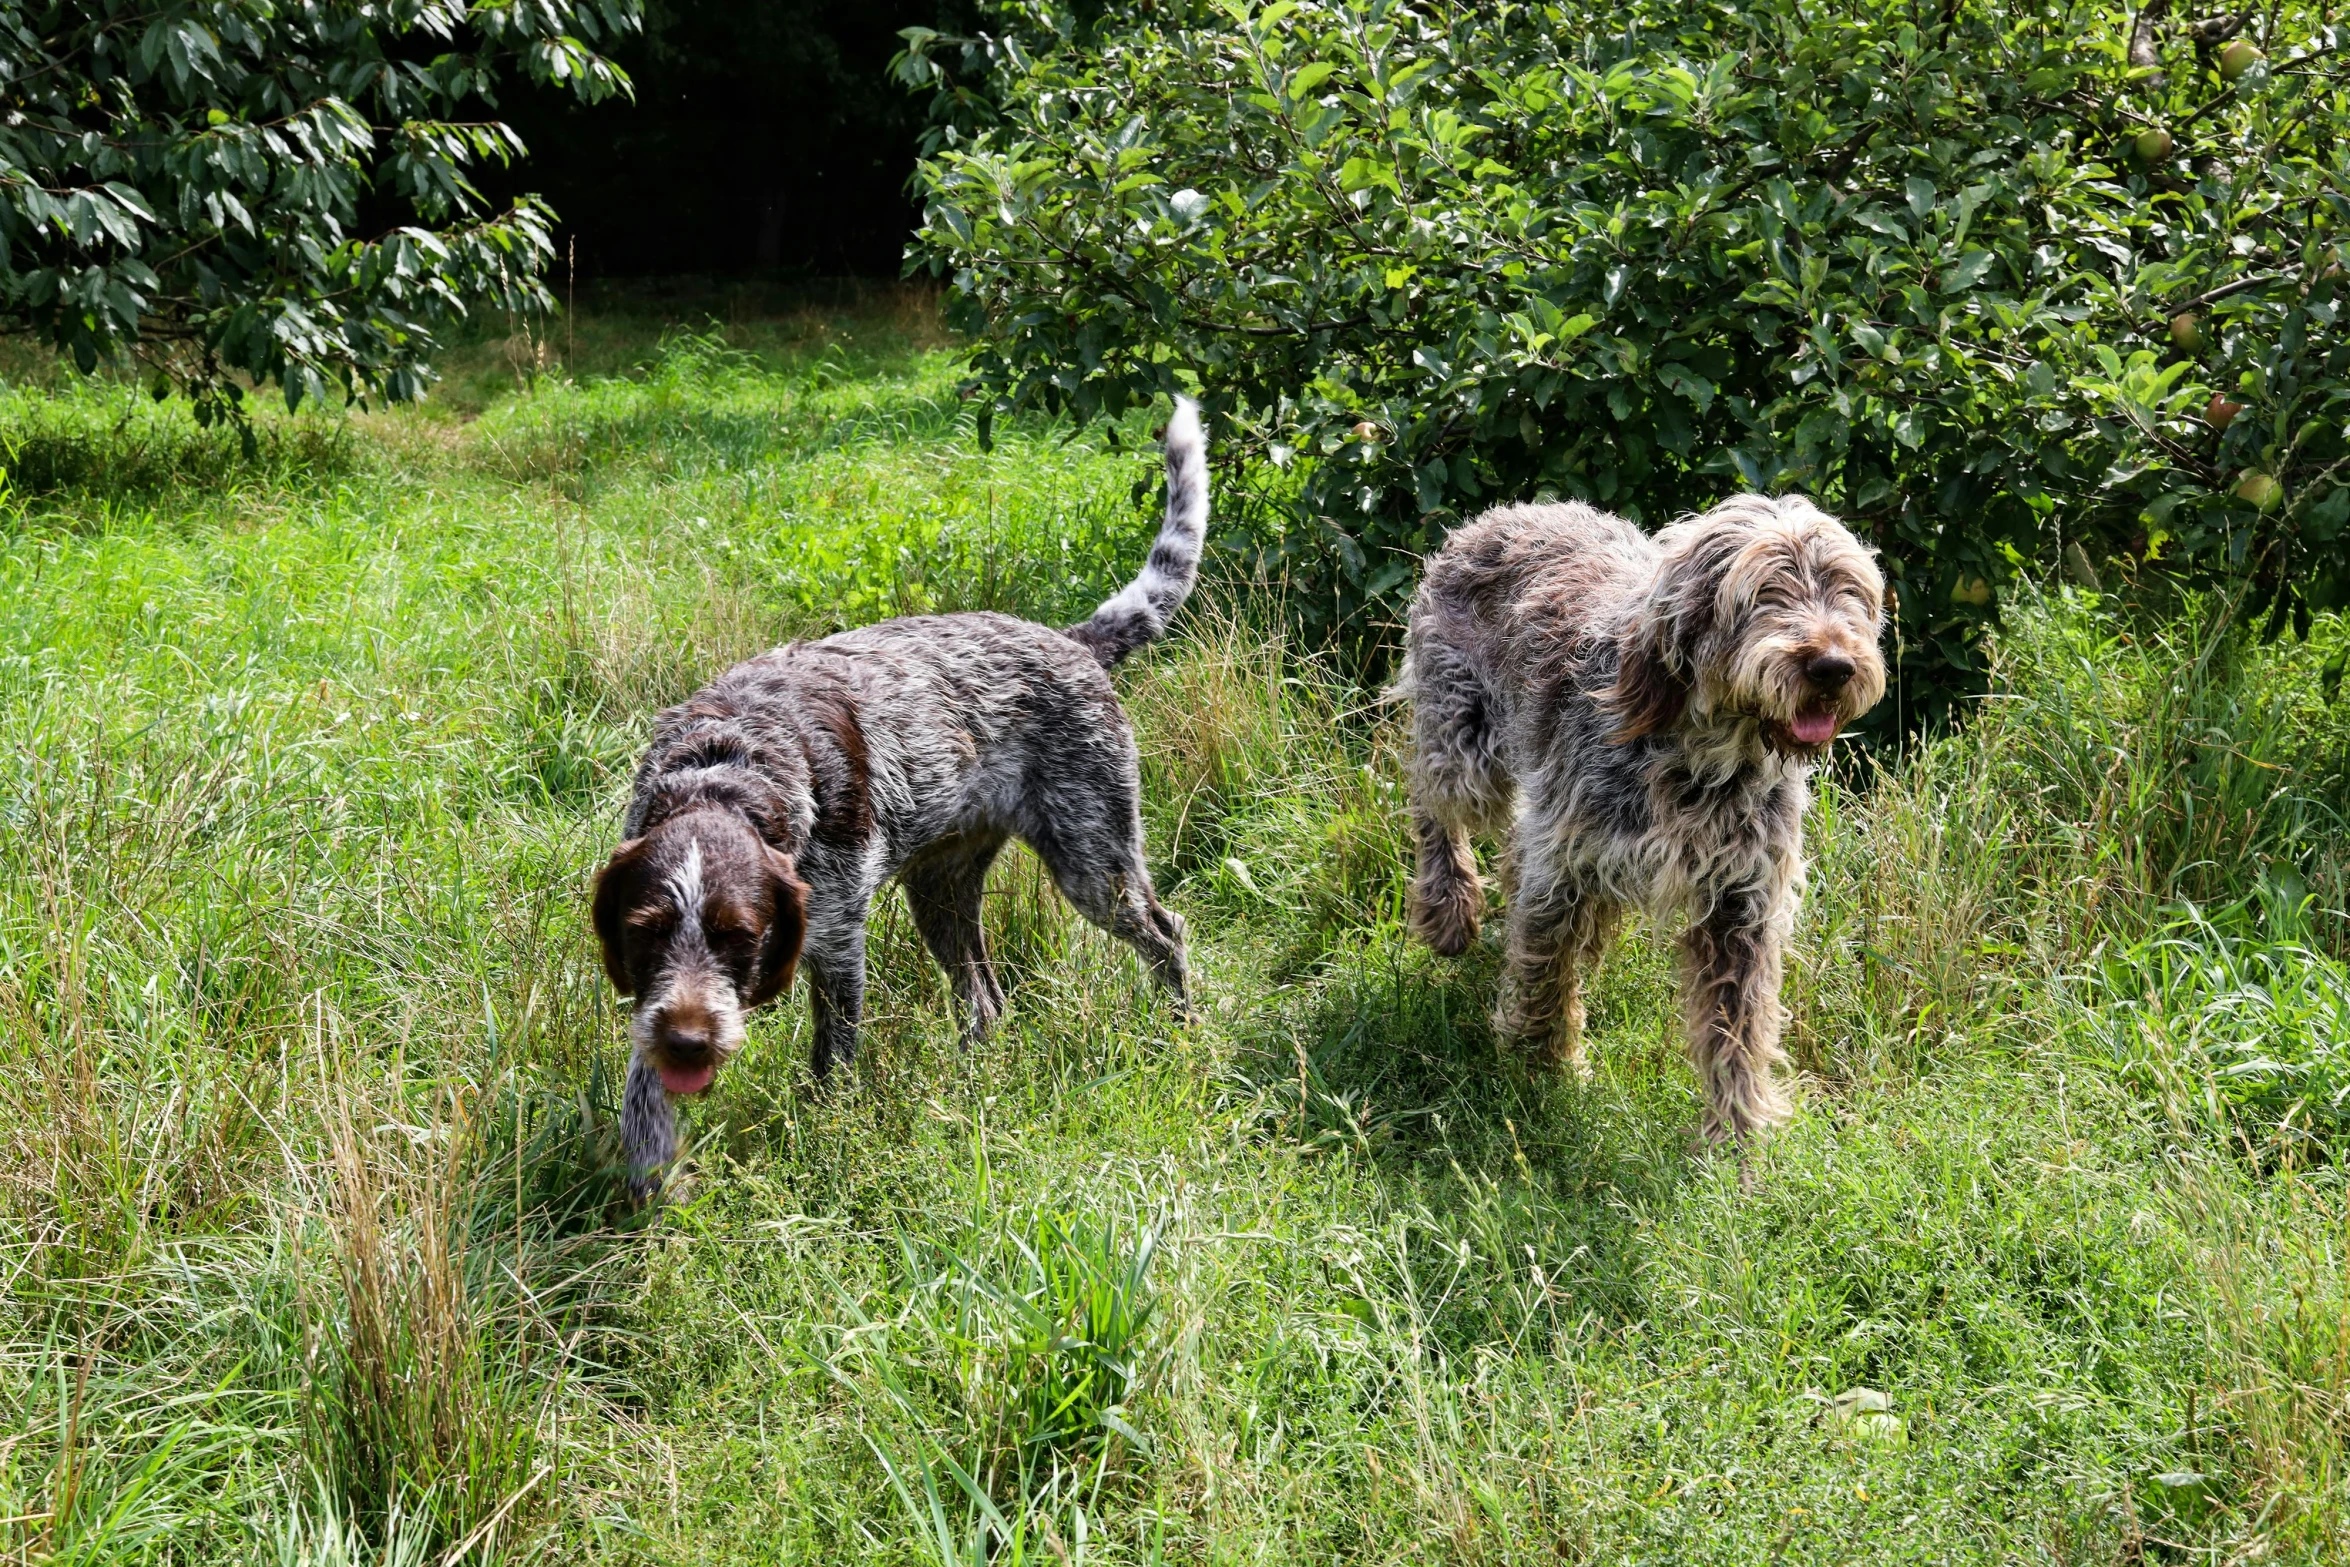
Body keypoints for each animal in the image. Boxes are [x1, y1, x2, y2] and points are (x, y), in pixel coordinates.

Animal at [596, 401, 1212, 1188]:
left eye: (743, 935)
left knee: (1166, 935)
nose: (689, 1045)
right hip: (941, 891)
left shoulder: (835, 940)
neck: (726, 766)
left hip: (1093, 864)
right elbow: (641, 1076)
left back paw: (1180, 1030)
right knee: (986, 999)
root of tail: (1075, 640)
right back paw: (977, 1078)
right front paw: (647, 1158)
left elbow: (831, 1058)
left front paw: (822, 1134)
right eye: (644, 932)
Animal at [1400, 495, 1879, 1146]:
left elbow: (1737, 1032)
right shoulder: (1564, 868)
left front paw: (1736, 1141)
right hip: (1463, 751)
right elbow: (1544, 974)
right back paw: (1448, 908)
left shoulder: (1741, 906)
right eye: (1762, 593)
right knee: (1427, 799)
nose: (1833, 667)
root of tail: (1497, 516)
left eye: (1847, 589)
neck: (1705, 761)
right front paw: (1537, 1071)